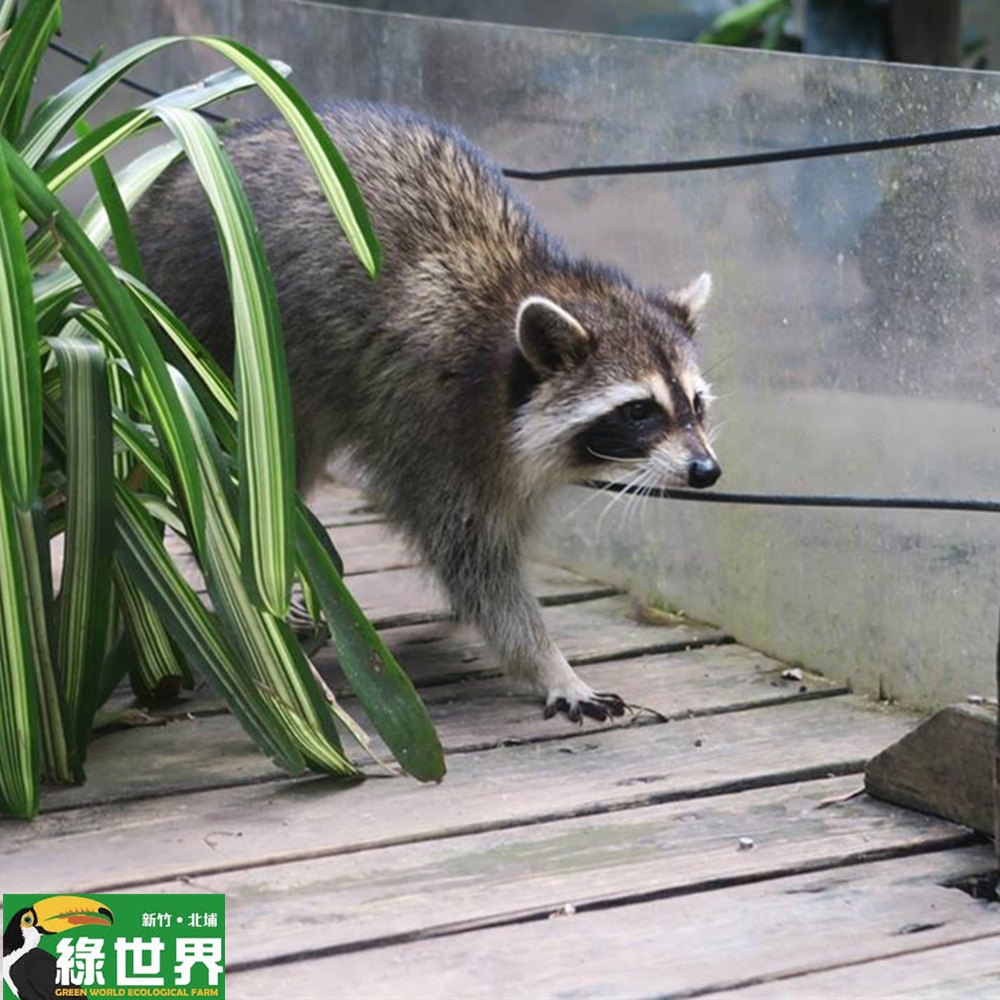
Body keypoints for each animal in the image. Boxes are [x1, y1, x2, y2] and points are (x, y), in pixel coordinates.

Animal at [131, 101, 720, 724]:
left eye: (695, 404)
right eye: (639, 411)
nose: (707, 471)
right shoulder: (432, 423)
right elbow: (476, 564)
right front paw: (546, 661)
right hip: (207, 332)